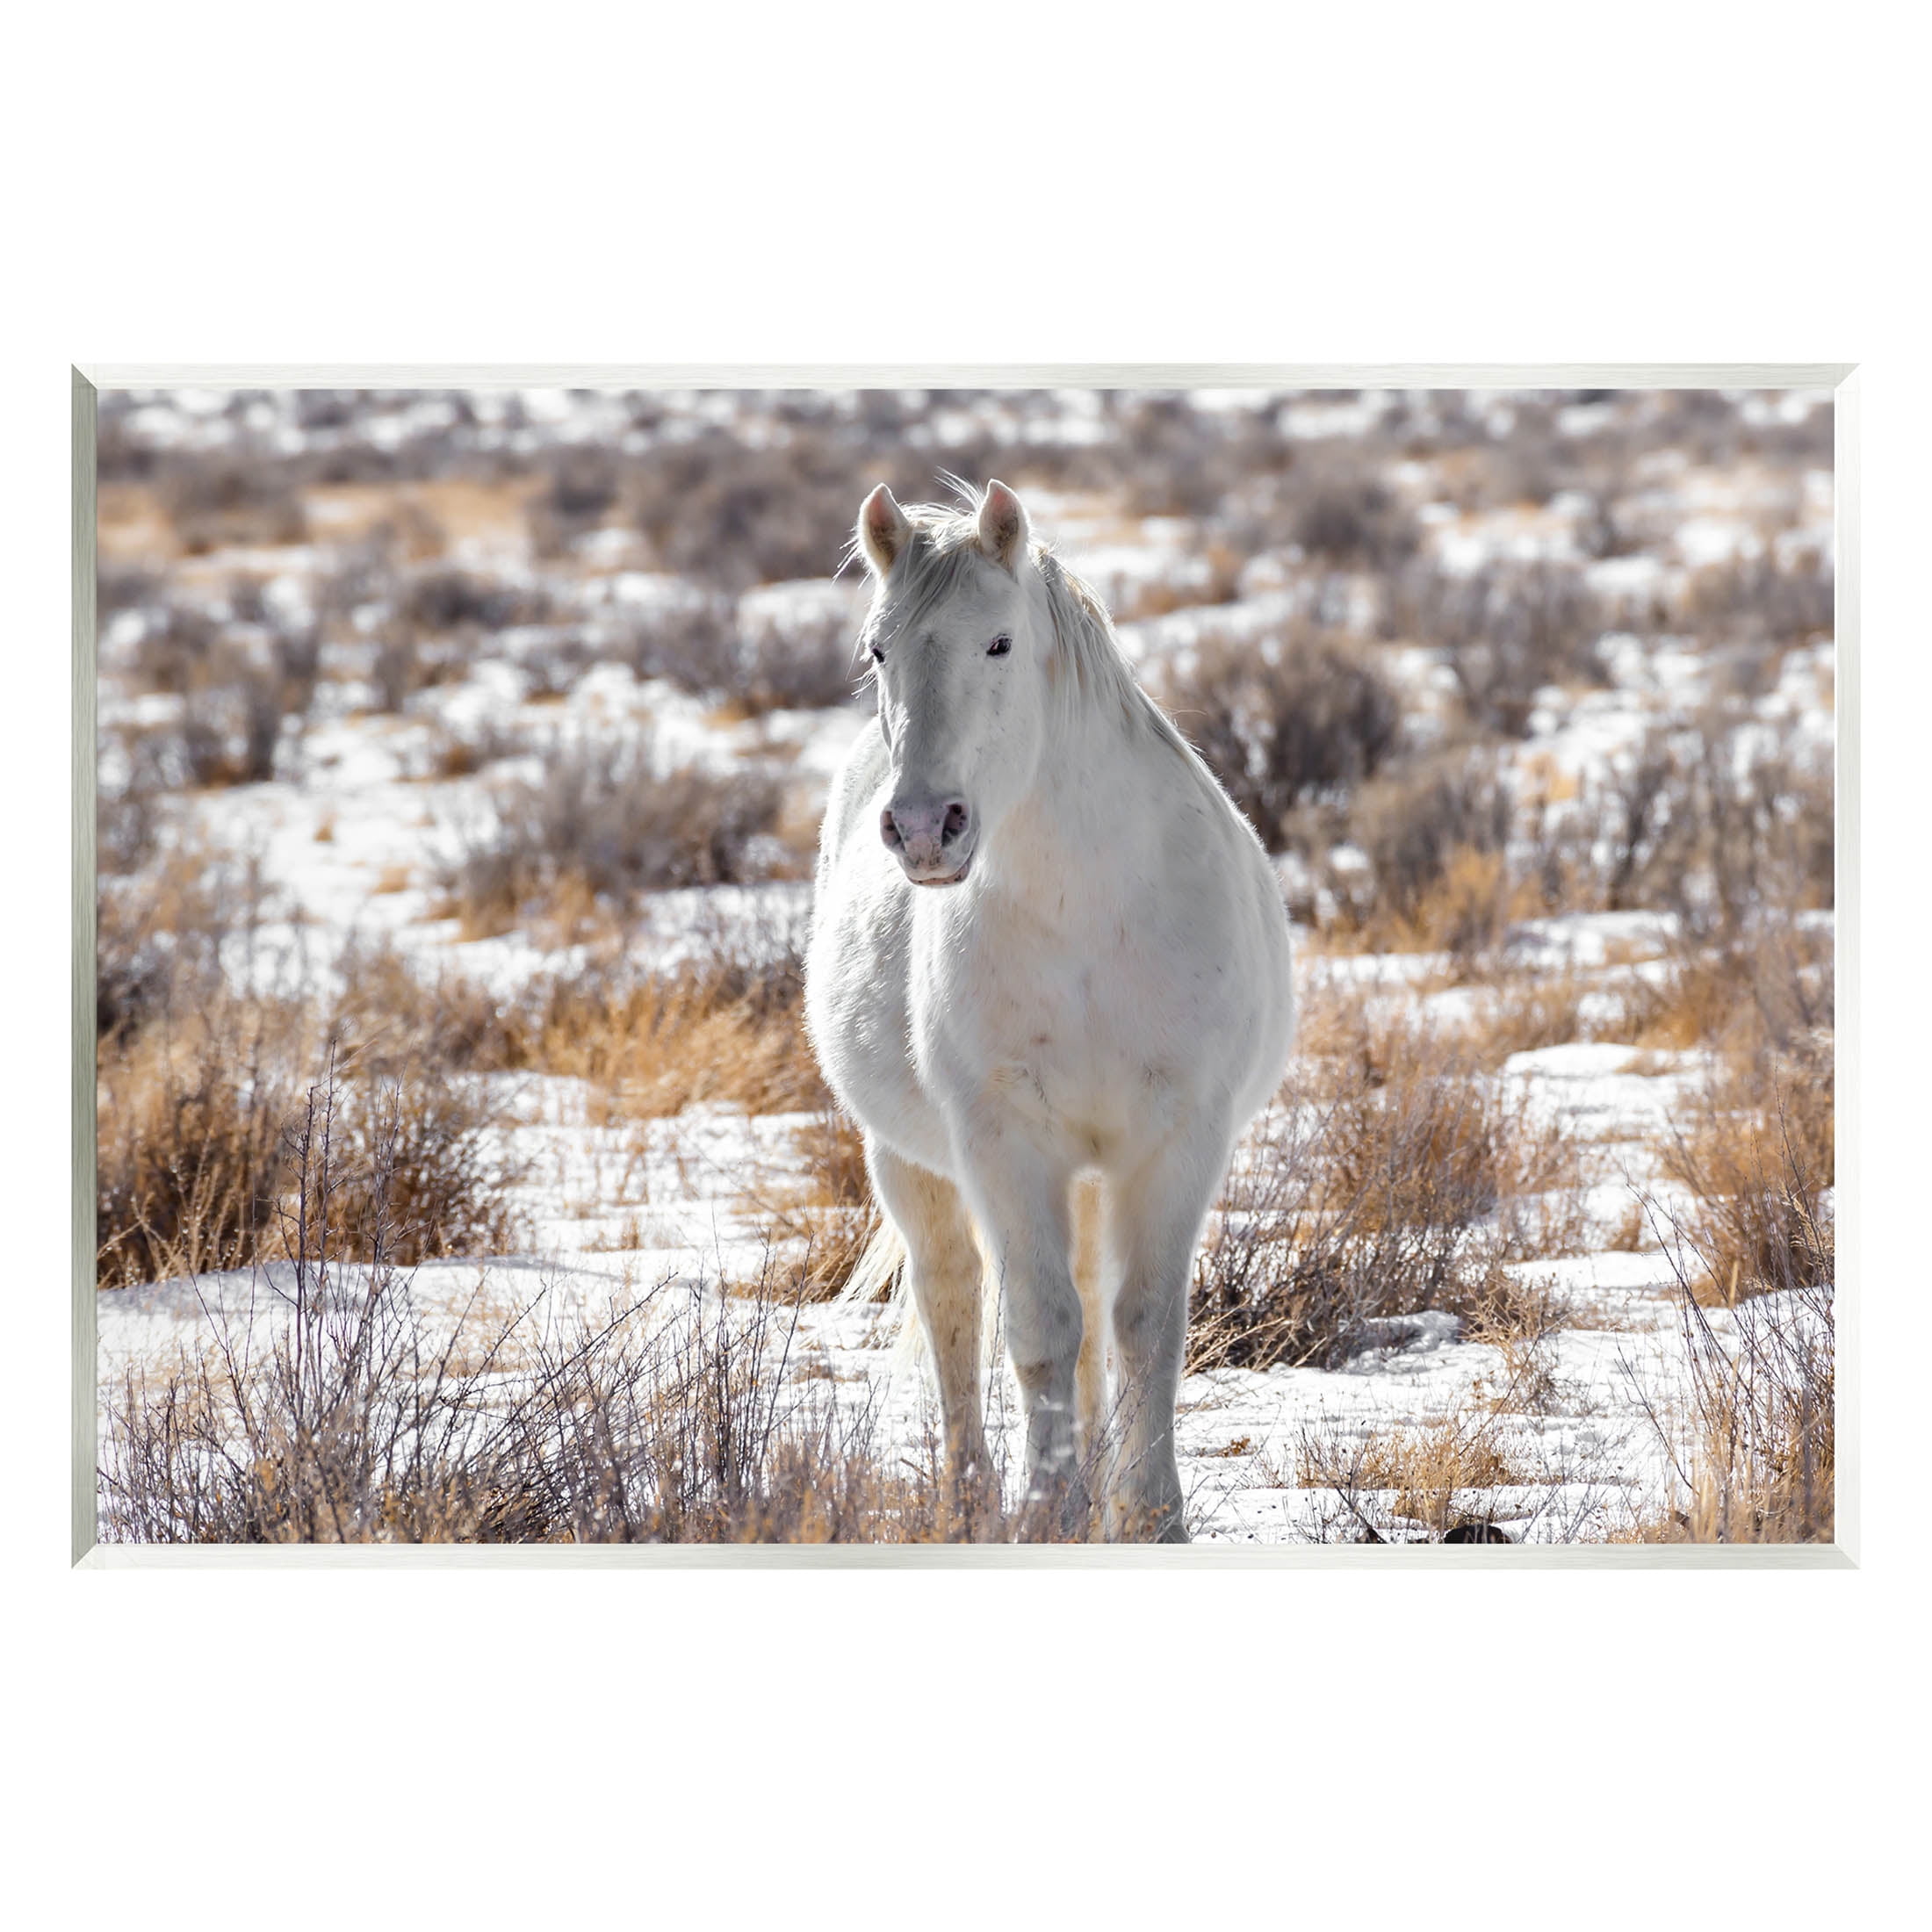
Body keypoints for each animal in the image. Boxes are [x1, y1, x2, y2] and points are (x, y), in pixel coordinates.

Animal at [803, 479, 1294, 1541]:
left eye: (999, 642)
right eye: (877, 648)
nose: (923, 828)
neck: (1090, 912)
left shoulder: (1177, 1138)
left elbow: (1144, 1325)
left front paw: (1149, 1516)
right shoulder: (1003, 1142)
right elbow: (1038, 1328)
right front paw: (1048, 1513)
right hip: (910, 1162)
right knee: (953, 1301)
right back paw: (969, 1501)